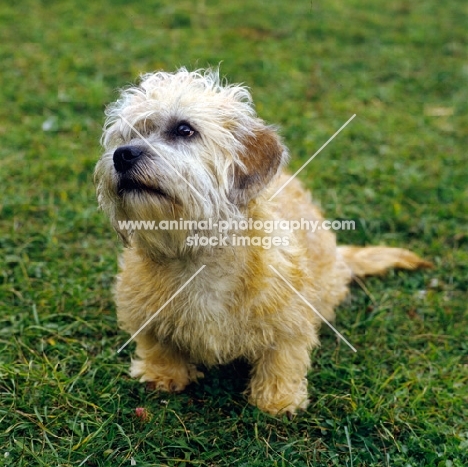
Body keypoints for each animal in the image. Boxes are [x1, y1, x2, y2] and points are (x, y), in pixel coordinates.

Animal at [94, 67, 432, 414]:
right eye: (125, 136)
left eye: (184, 130)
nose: (122, 155)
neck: (198, 257)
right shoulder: (142, 312)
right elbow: (157, 344)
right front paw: (163, 375)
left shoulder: (290, 320)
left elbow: (283, 356)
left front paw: (277, 399)